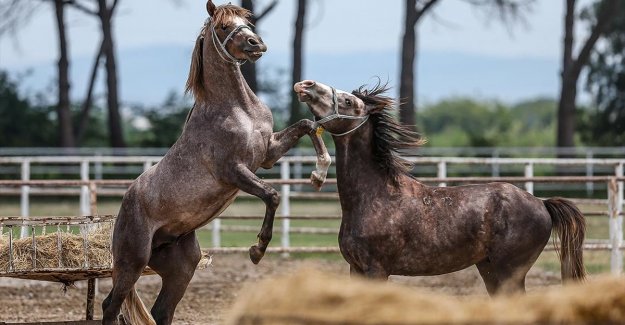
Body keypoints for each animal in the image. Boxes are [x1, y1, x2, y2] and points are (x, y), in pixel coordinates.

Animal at [101, 1, 332, 322]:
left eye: (247, 21)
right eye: (223, 26)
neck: (238, 109)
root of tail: (124, 206)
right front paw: (257, 250)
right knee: (110, 305)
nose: (256, 43)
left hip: (181, 268)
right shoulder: (233, 170)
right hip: (132, 261)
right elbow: (272, 195)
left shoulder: (268, 153)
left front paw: (320, 174)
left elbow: (308, 125)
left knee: (161, 312)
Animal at [294, 78, 584, 294]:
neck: (375, 195)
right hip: (489, 269)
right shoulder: (355, 269)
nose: (305, 85)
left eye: (348, 101)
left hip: (508, 272)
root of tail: (542, 204)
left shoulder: (376, 270)